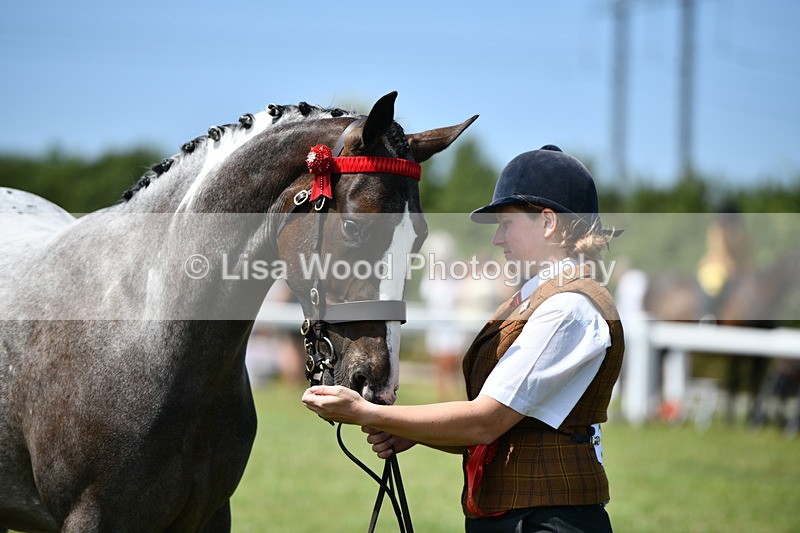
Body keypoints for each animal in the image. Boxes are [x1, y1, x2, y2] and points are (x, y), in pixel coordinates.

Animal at [0, 91, 477, 532]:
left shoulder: (209, 515)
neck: (147, 327)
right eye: (353, 226)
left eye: (419, 237)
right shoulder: (92, 519)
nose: (377, 383)